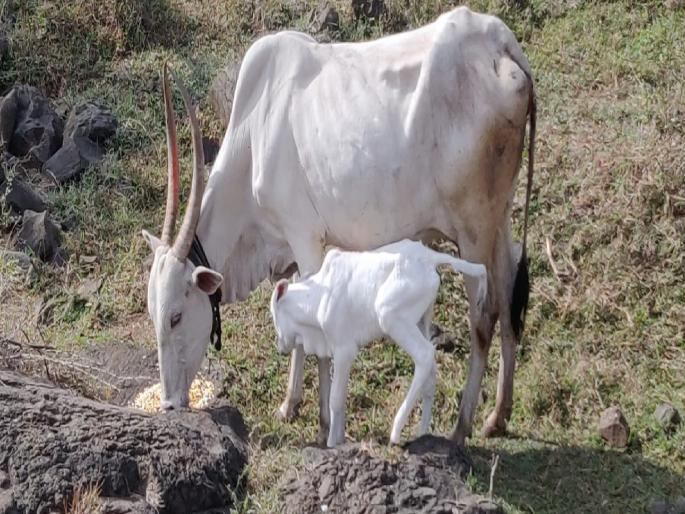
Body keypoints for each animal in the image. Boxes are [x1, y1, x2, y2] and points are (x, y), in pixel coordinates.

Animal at [141, 5, 536, 446]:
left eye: (176, 316)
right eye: (153, 314)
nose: (169, 404)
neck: (256, 128)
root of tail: (498, 41)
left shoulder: (305, 238)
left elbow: (316, 335)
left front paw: (323, 423)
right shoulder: (286, 252)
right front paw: (289, 405)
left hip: (473, 231)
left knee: (484, 315)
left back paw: (460, 427)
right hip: (499, 220)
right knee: (508, 298)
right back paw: (497, 416)